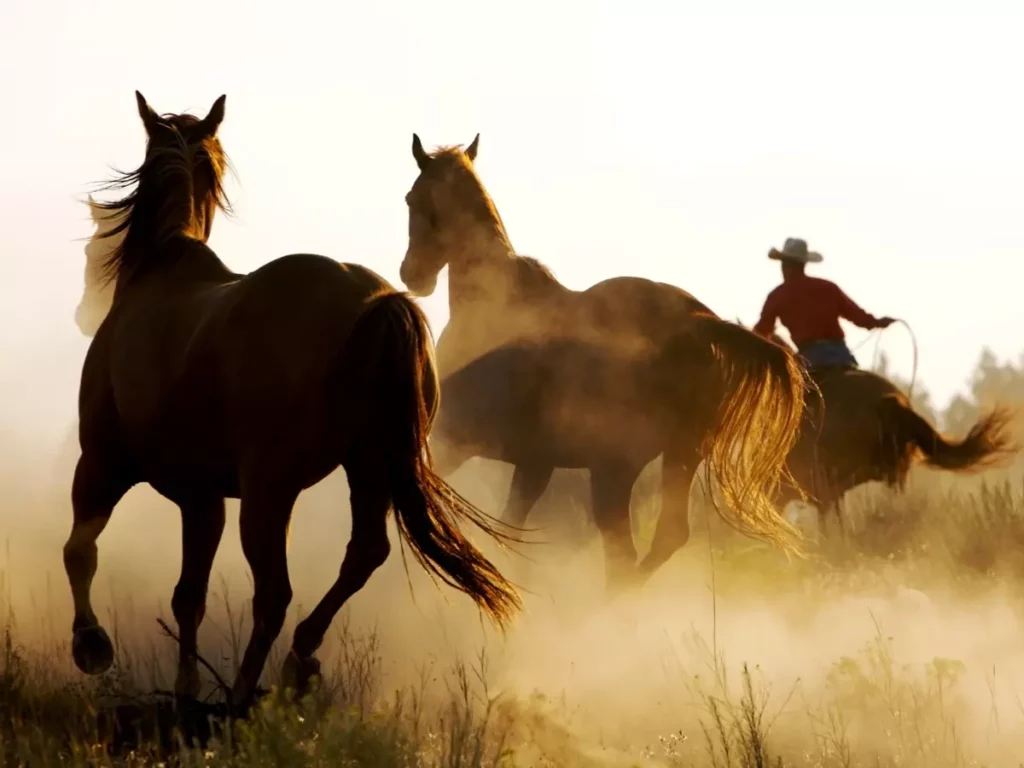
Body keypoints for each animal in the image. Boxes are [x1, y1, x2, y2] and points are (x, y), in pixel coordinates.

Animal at [64, 93, 520, 710]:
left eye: (96, 249)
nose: (83, 312)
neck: (159, 275)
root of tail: (376, 303)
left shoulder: (103, 465)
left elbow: (80, 551)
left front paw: (91, 644)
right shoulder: (202, 498)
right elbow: (188, 595)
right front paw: (185, 690)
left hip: (269, 491)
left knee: (275, 592)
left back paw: (241, 695)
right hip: (366, 470)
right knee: (361, 556)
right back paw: (299, 660)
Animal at [398, 135, 812, 588]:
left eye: (411, 198)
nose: (412, 275)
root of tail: (701, 324)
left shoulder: (454, 439)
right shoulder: (534, 462)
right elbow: (510, 527)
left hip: (614, 470)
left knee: (625, 554)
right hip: (677, 455)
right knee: (661, 540)